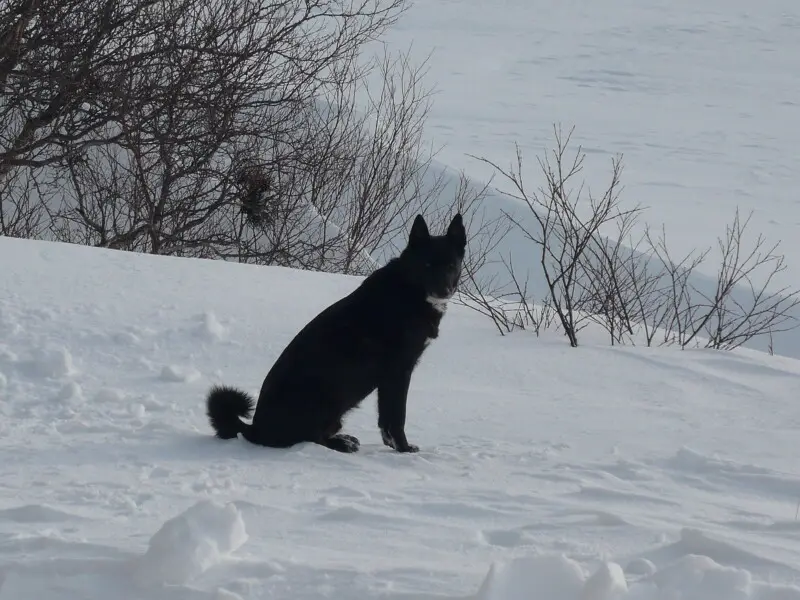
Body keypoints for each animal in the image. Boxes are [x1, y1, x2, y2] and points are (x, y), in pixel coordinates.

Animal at [206, 213, 466, 452]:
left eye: (451, 266)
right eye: (427, 265)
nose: (444, 290)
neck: (408, 288)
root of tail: (255, 429)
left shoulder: (389, 379)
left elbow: (385, 418)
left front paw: (392, 445)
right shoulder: (399, 371)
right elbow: (397, 416)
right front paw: (403, 448)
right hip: (324, 397)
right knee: (310, 437)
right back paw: (341, 444)